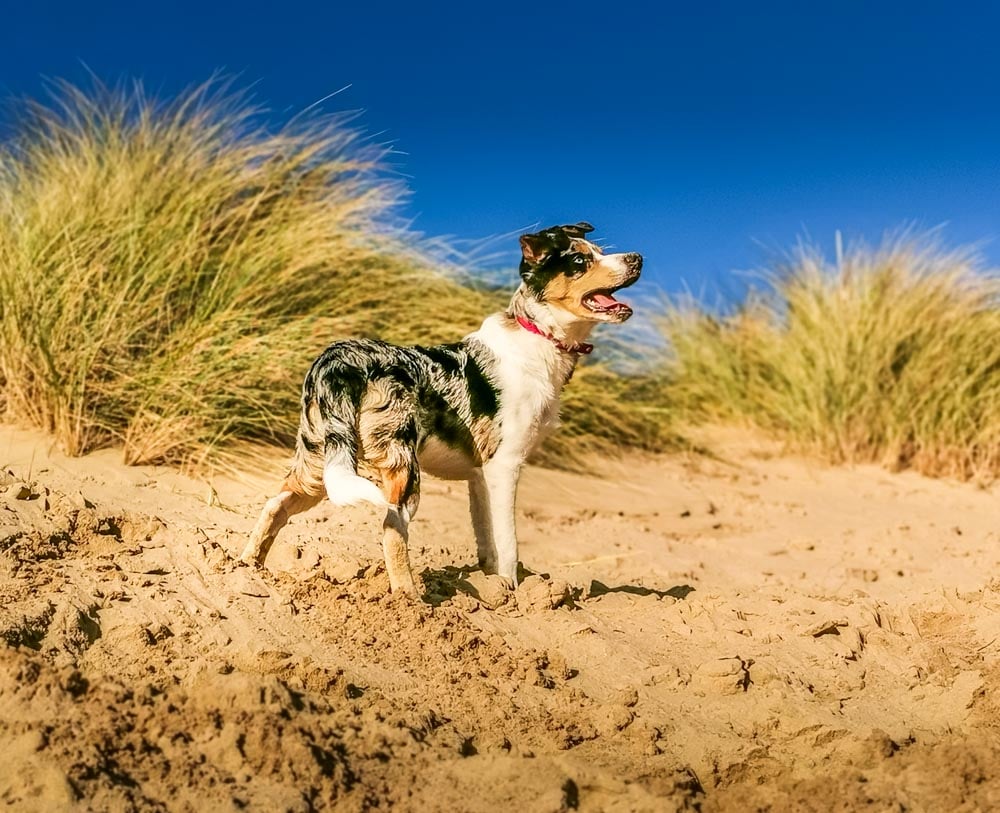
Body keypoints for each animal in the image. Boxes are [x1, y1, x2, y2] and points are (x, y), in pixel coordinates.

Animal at [242, 225, 644, 592]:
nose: (637, 258)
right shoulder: (505, 467)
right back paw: (410, 601)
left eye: (598, 251)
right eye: (580, 261)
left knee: (274, 505)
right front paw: (512, 593)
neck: (539, 335)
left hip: (319, 462)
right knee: (392, 529)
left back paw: (247, 566)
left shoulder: (481, 476)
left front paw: (493, 586)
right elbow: (508, 544)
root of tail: (339, 360)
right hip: (402, 466)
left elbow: (488, 542)